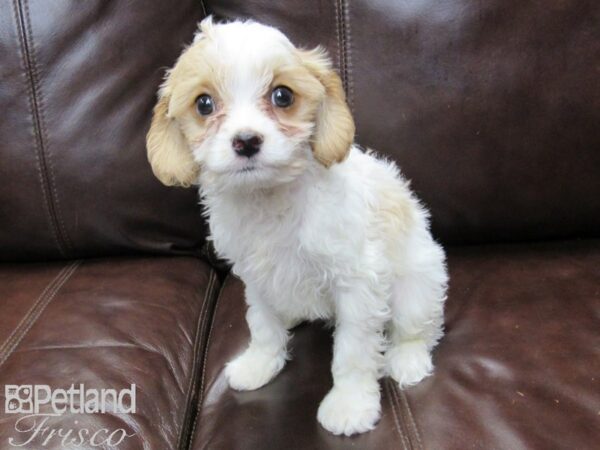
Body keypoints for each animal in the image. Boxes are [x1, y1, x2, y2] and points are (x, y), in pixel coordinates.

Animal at [146, 17, 446, 436]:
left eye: (282, 96)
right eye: (204, 104)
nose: (246, 141)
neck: (269, 197)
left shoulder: (356, 282)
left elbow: (354, 350)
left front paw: (350, 404)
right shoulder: (255, 278)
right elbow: (263, 325)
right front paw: (259, 364)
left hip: (417, 287)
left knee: (418, 329)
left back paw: (407, 360)